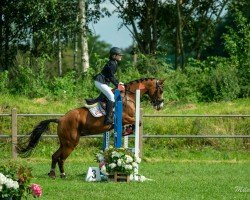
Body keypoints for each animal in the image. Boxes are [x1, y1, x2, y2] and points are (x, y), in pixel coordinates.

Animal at [16, 77, 165, 178]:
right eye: (161, 90)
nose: (160, 105)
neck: (128, 96)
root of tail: (61, 119)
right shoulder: (125, 118)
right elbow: (137, 122)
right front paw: (126, 131)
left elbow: (136, 123)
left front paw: (125, 131)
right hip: (71, 143)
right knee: (61, 158)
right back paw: (61, 174)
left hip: (65, 142)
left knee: (55, 156)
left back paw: (54, 174)